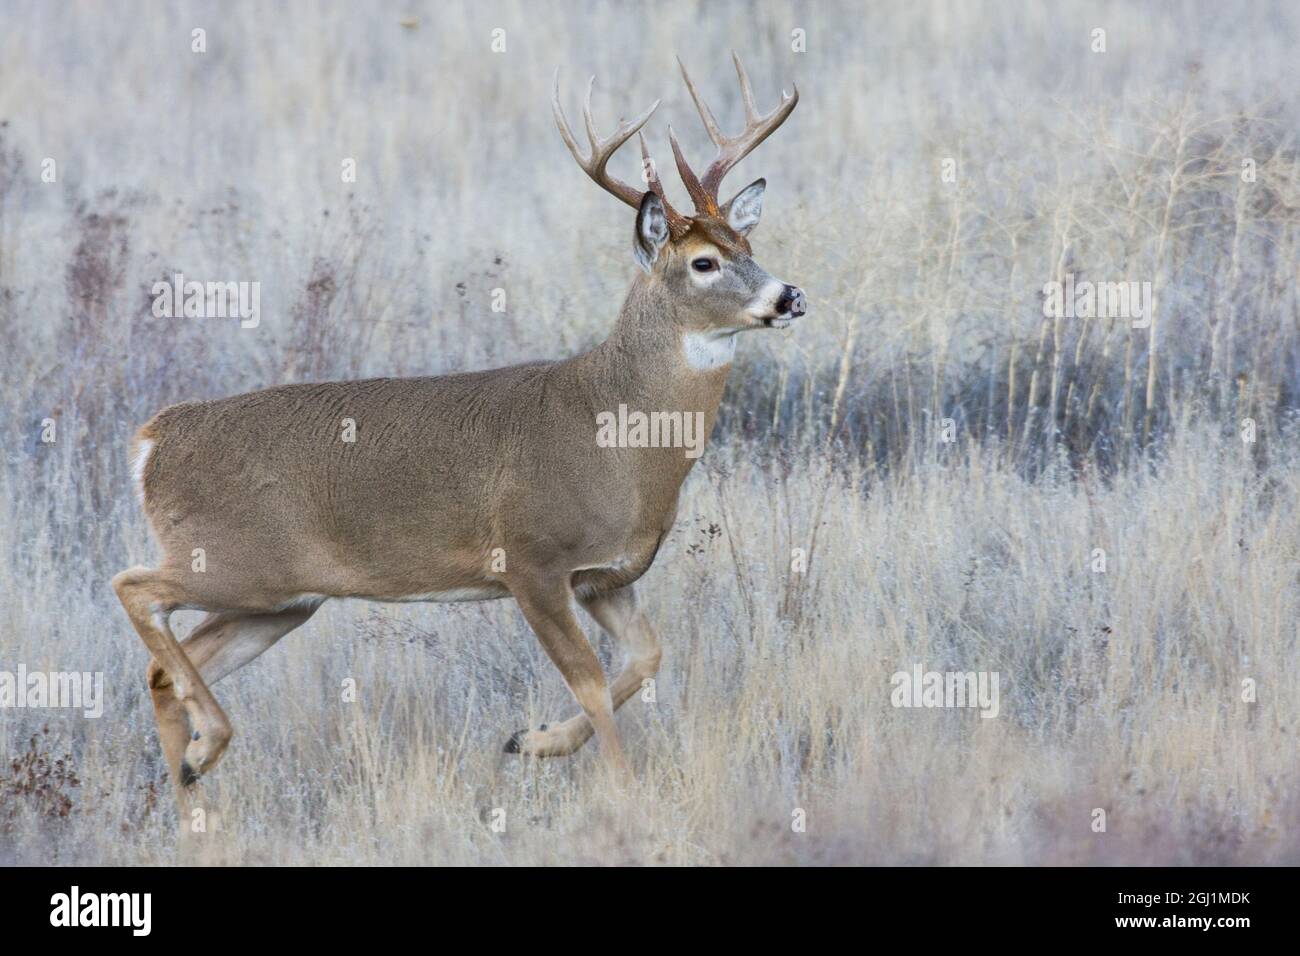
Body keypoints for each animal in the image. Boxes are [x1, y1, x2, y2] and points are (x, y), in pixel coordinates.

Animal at [112, 53, 804, 815]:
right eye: (703, 262)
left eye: (748, 243)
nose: (788, 296)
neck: (618, 435)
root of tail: (151, 441)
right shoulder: (531, 557)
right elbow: (592, 681)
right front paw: (622, 794)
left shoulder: (605, 576)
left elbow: (645, 658)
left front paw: (532, 741)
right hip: (234, 560)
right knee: (134, 588)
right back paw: (209, 744)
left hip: (280, 599)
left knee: (161, 670)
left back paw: (193, 796)